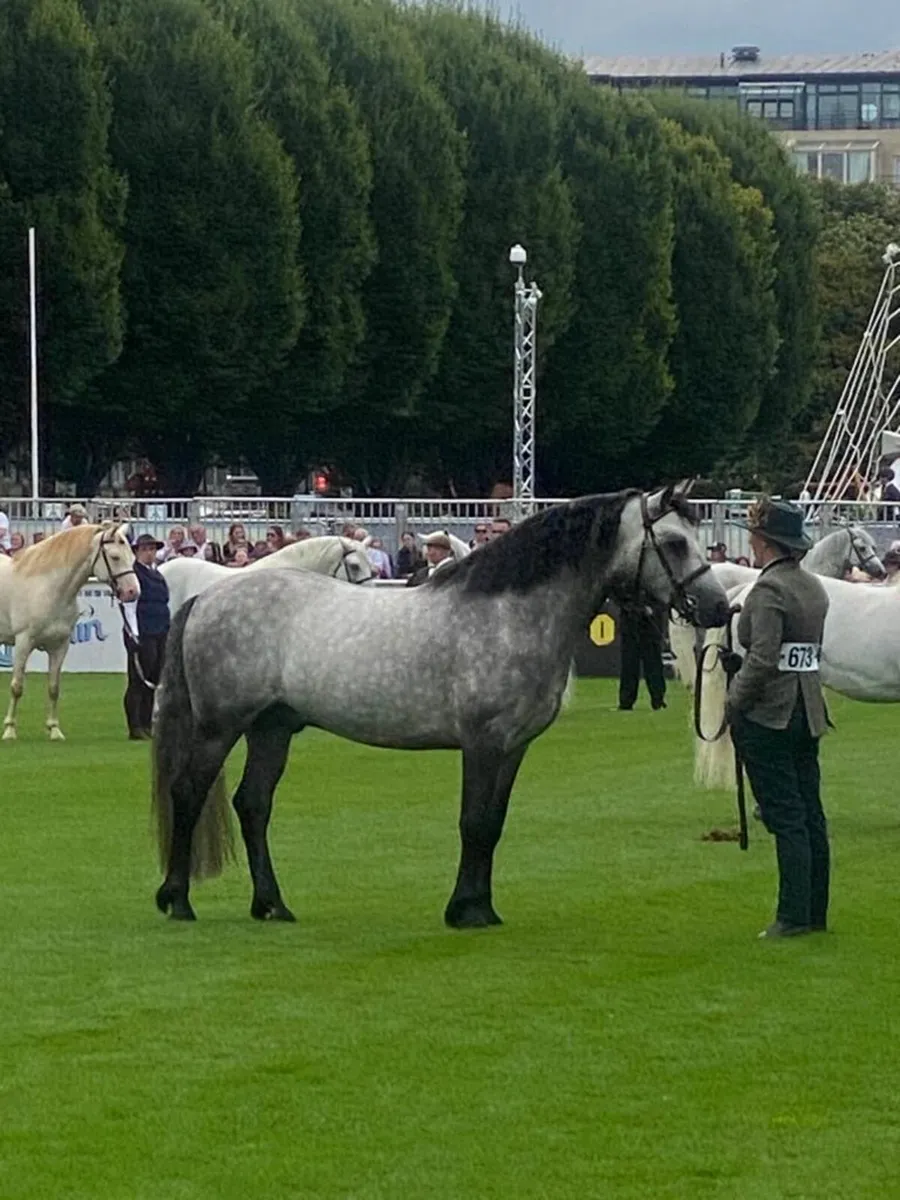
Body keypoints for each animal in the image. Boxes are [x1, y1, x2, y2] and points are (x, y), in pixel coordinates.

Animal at [0, 523, 138, 740]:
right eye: (115, 557)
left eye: (132, 557)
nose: (133, 592)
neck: (47, 587)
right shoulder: (23, 642)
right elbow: (17, 687)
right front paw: (9, 730)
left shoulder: (60, 646)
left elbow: (53, 688)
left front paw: (54, 730)